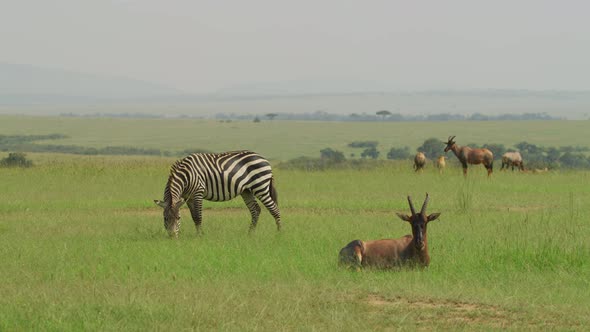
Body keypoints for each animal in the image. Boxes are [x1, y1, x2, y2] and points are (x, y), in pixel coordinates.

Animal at [153, 150, 282, 239]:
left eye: (178, 218)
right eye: (165, 218)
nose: (172, 237)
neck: (186, 175)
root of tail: (264, 159)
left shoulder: (198, 192)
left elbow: (198, 216)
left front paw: (200, 236)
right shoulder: (188, 198)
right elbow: (194, 217)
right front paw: (198, 234)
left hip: (260, 186)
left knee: (274, 209)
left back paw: (279, 234)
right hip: (247, 191)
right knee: (256, 210)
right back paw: (250, 234)